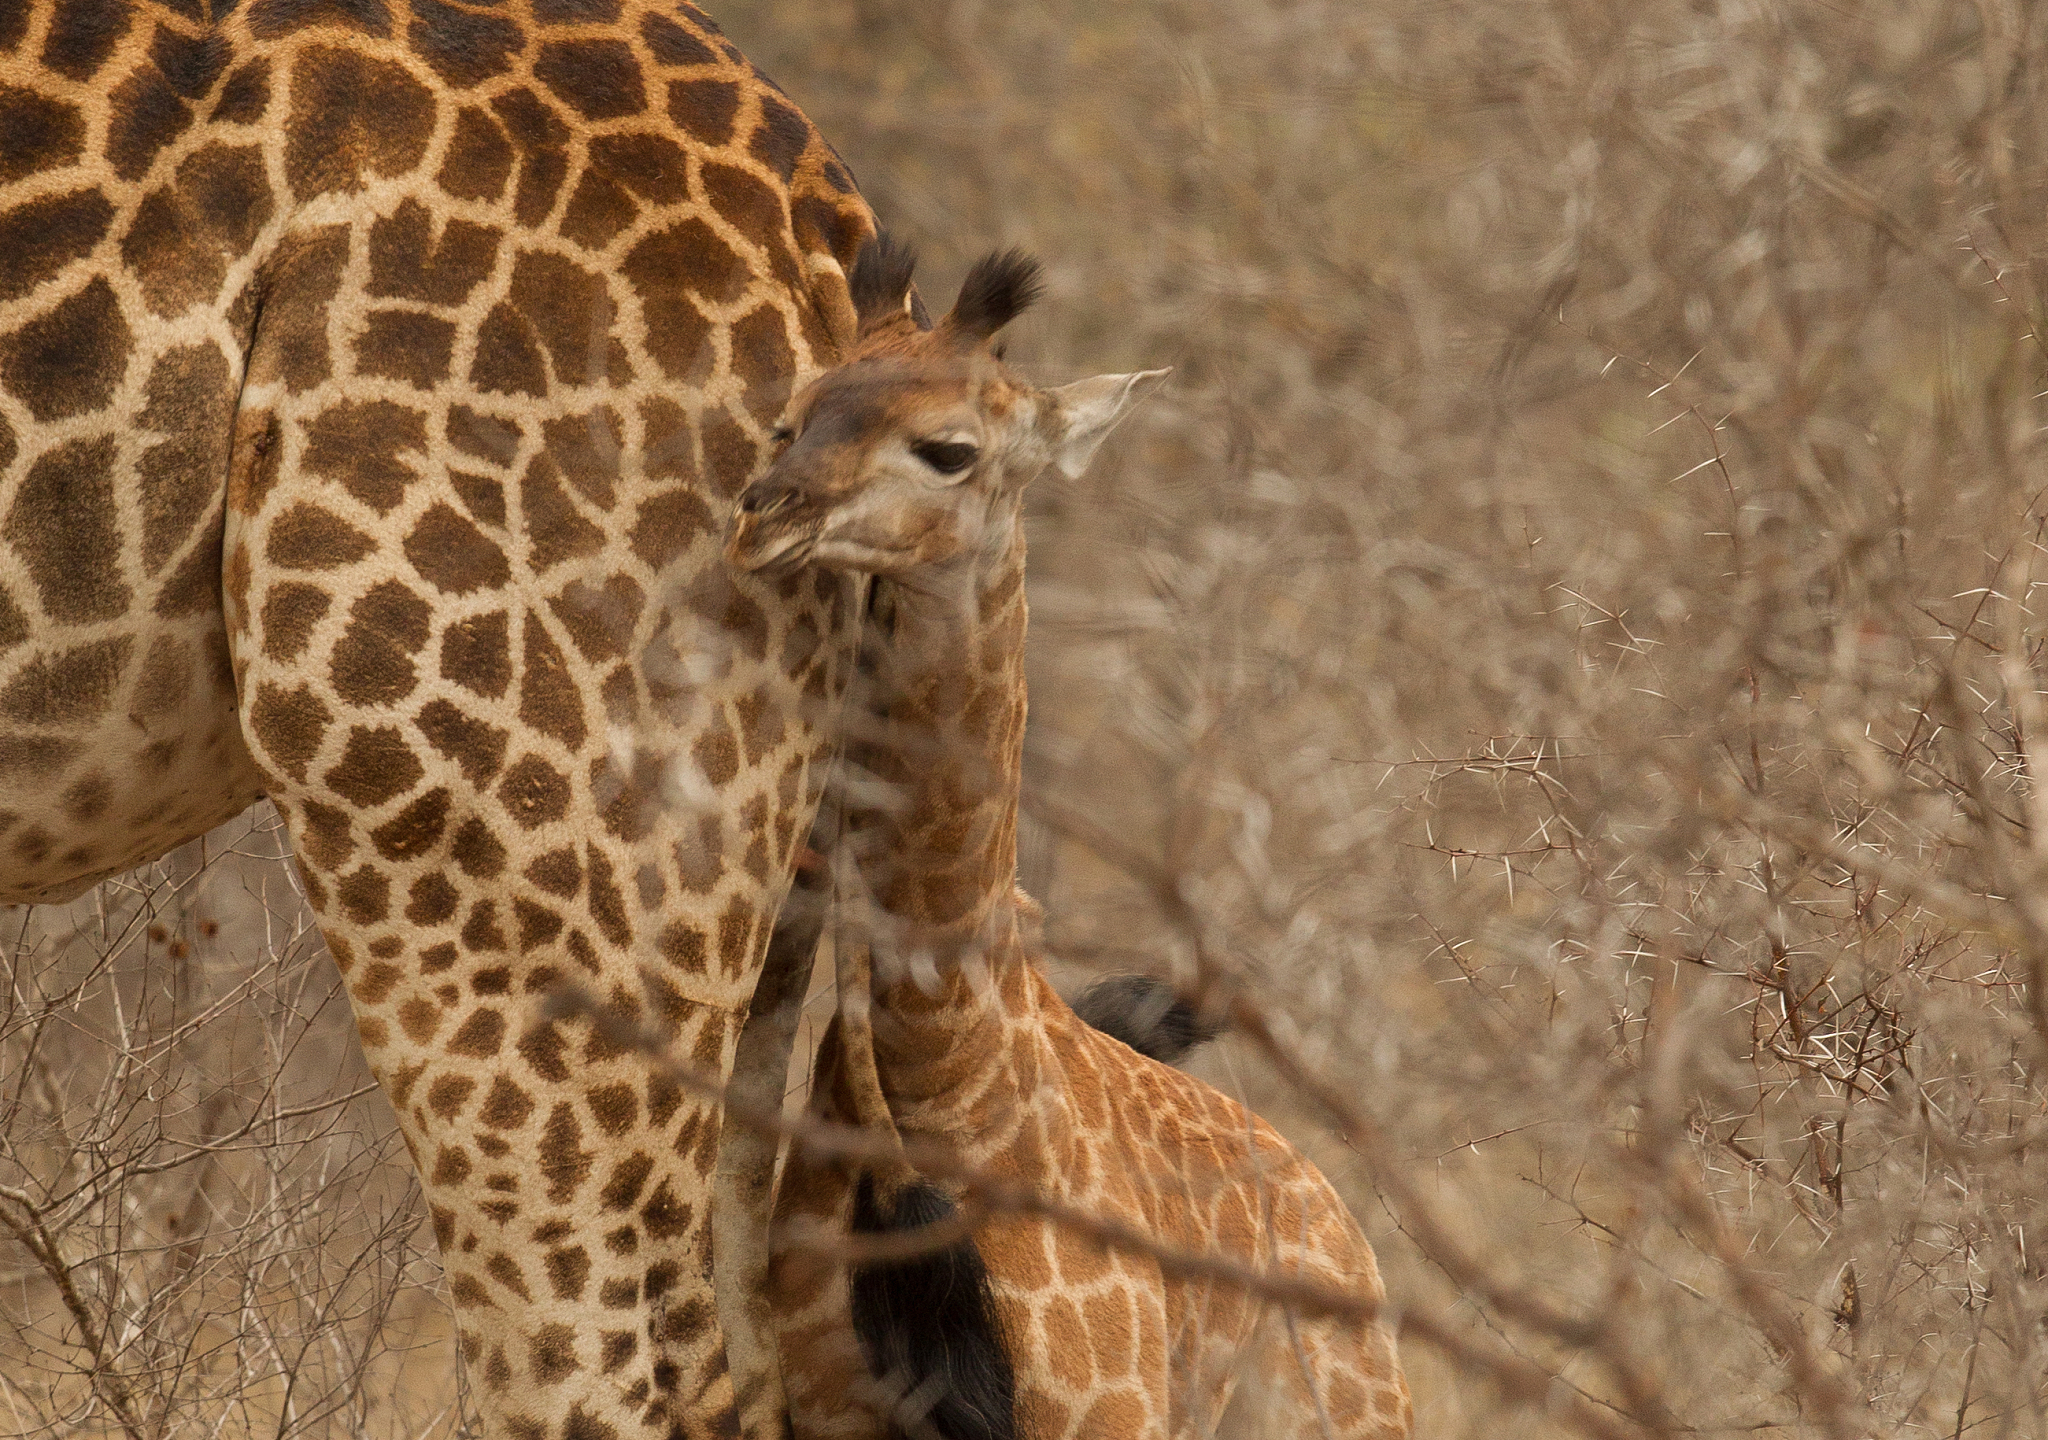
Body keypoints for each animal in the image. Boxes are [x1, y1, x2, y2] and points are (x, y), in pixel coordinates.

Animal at [726, 240, 1413, 1440]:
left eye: (949, 450)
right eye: (793, 420)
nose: (764, 515)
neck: (945, 1076)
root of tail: (1338, 1222)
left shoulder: (1099, 1414)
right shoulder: (830, 1407)